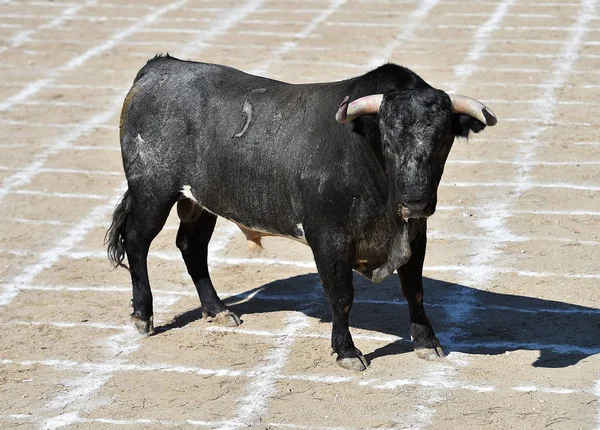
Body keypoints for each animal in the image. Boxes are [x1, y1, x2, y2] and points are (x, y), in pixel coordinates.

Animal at [104, 53, 496, 370]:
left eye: (443, 139)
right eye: (387, 137)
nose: (415, 202)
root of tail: (159, 67)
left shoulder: (415, 233)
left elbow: (414, 288)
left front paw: (427, 342)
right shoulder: (329, 239)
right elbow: (341, 295)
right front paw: (347, 352)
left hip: (199, 200)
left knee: (192, 246)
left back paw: (218, 310)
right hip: (152, 192)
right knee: (137, 242)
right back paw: (143, 315)